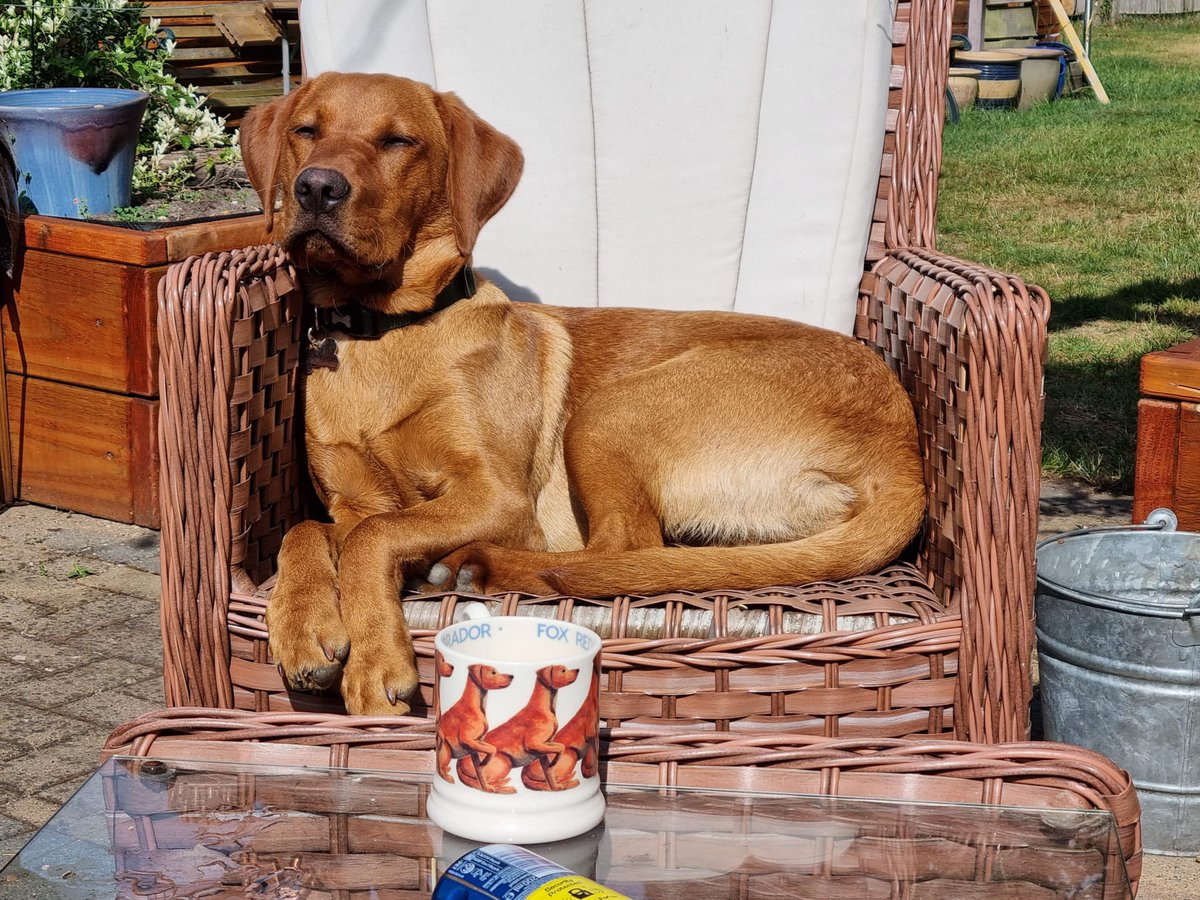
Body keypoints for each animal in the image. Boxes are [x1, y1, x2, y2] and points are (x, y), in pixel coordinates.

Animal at [238, 72, 921, 720]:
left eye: (398, 141)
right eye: (305, 130)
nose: (316, 188)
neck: (381, 331)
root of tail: (905, 451)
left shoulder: (498, 498)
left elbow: (371, 539)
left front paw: (375, 663)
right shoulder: (353, 504)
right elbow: (314, 530)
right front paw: (303, 625)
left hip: (607, 411)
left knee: (619, 550)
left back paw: (478, 564)